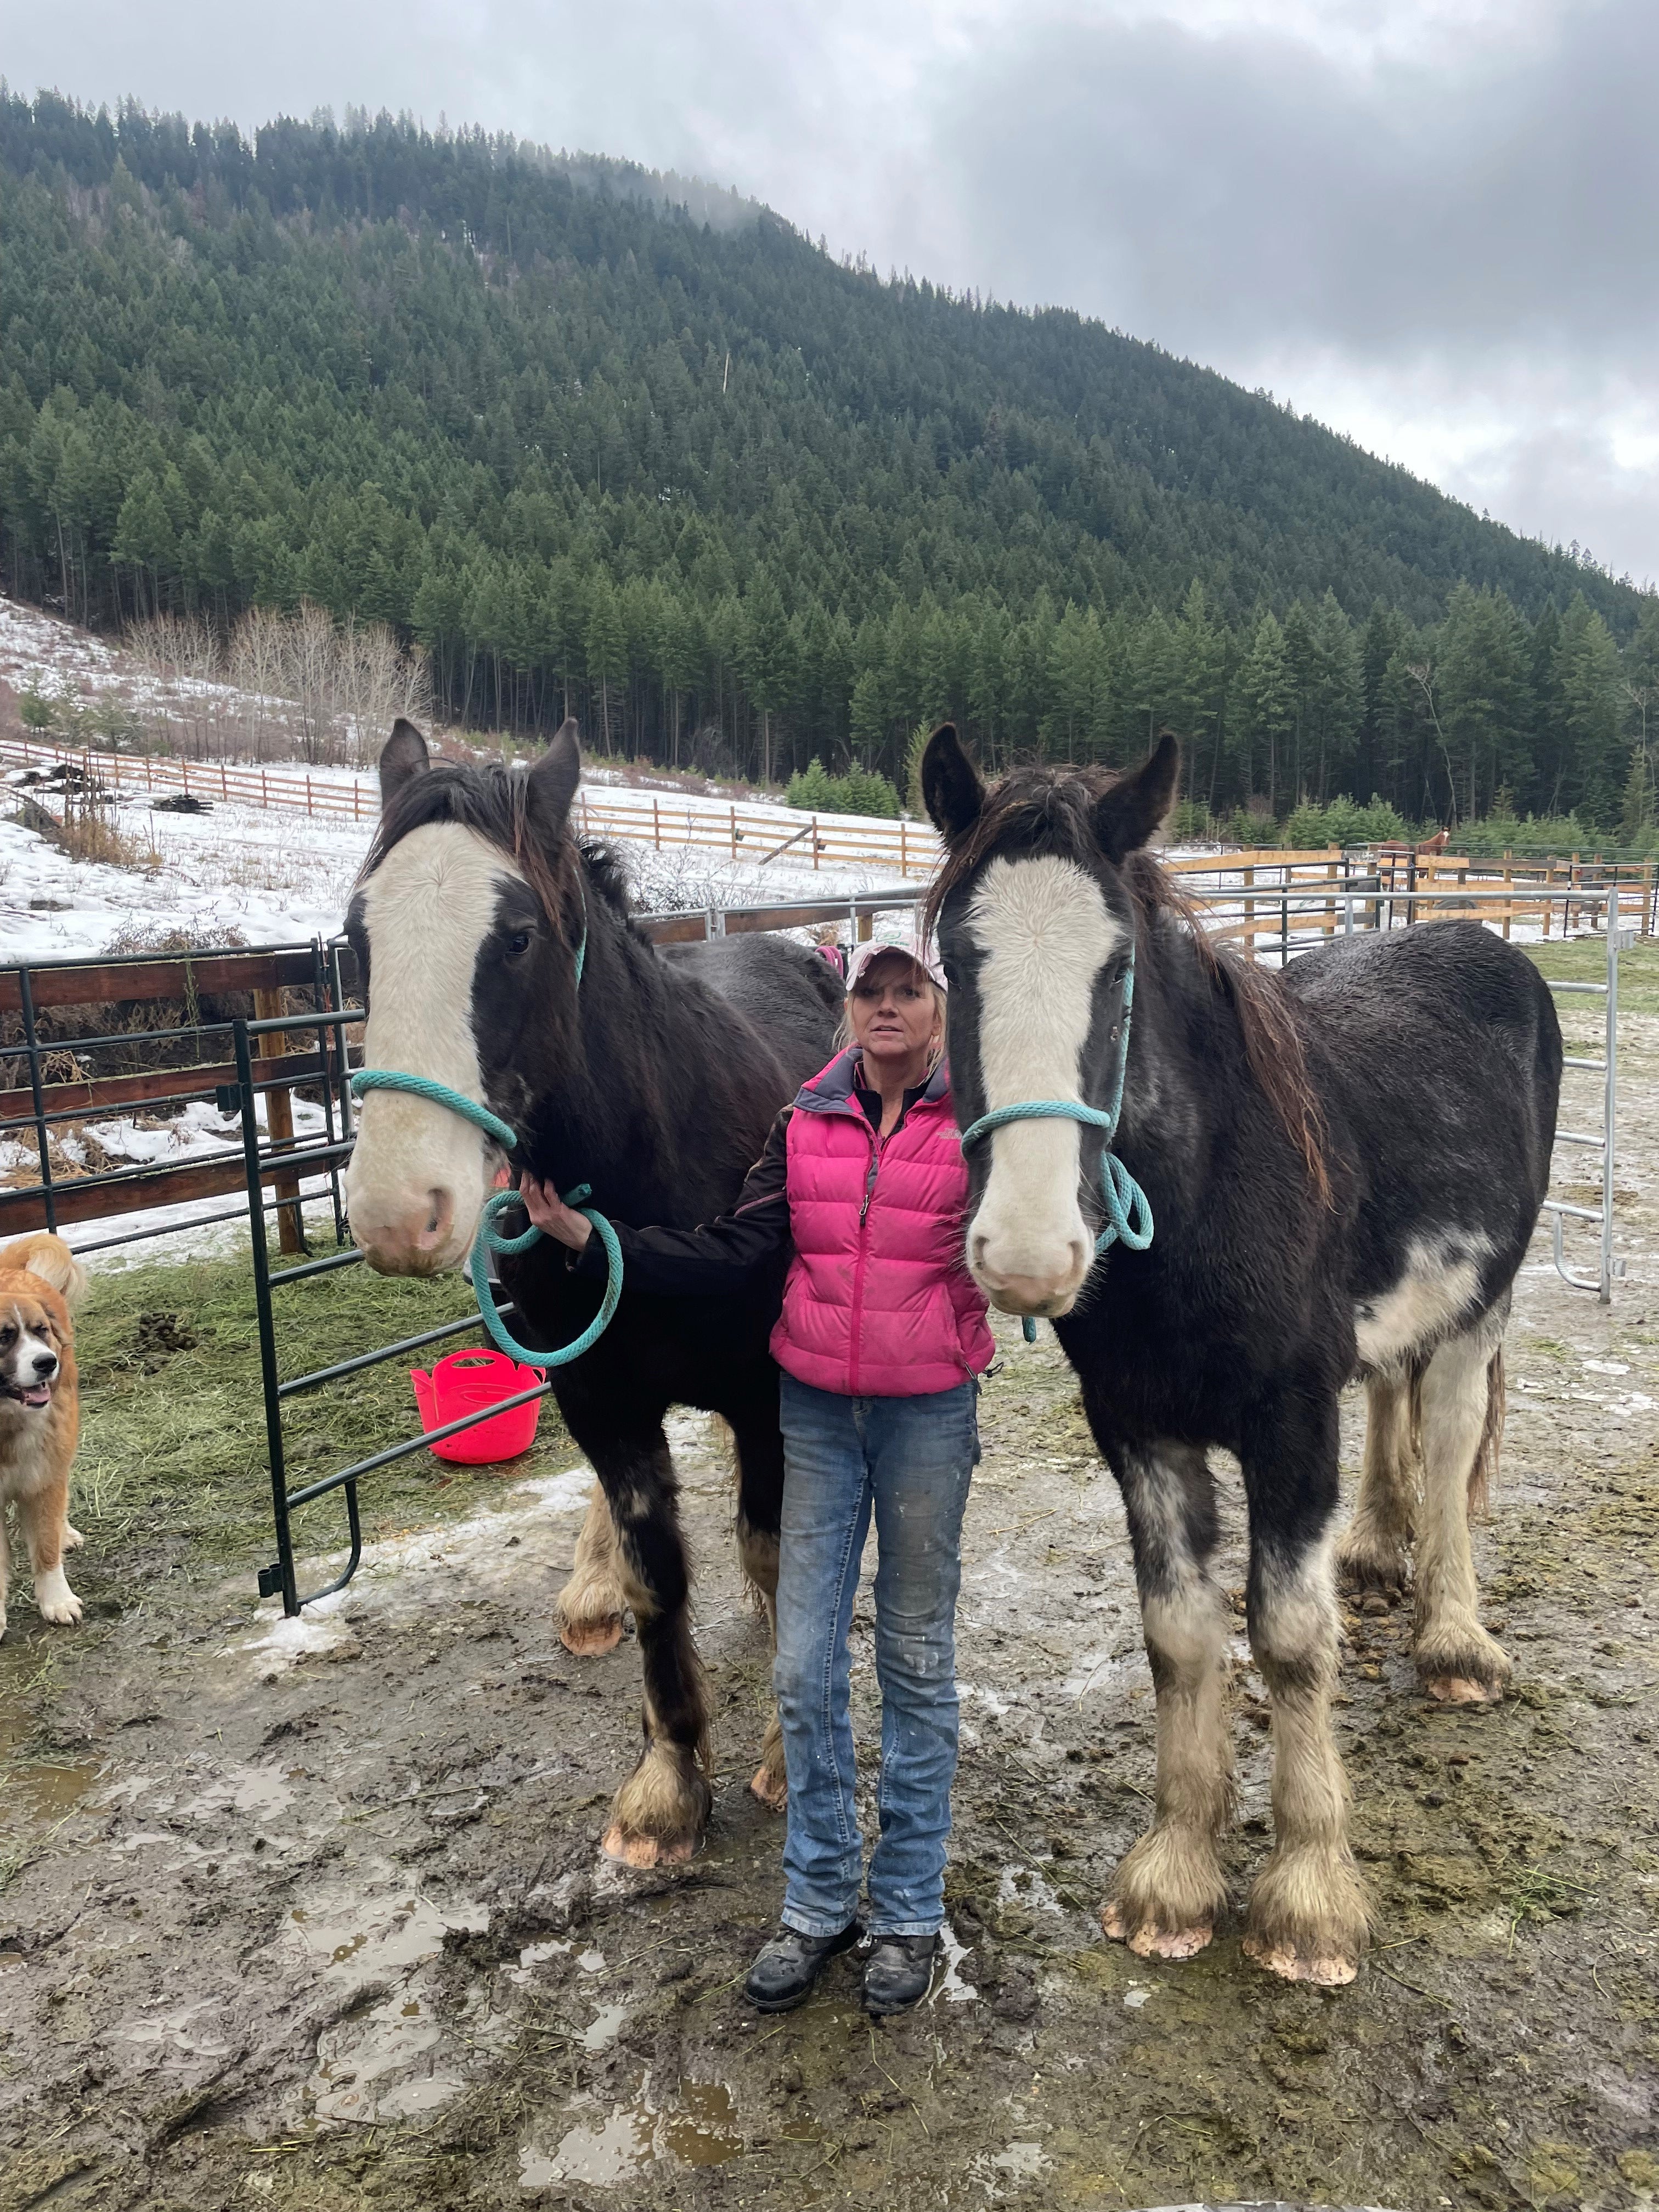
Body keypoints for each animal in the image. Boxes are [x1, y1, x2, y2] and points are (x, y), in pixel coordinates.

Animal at [347, 725, 845, 1867]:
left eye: (517, 937)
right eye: (357, 934)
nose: (397, 1209)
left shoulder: (766, 1396)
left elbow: (775, 1550)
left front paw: (783, 1752)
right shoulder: (596, 1397)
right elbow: (655, 1568)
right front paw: (668, 1785)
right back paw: (590, 1588)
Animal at [929, 725, 1566, 1990]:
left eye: (1118, 970)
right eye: (955, 965)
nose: (1027, 1253)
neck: (1209, 1195)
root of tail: (1482, 938)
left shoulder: (1286, 1425)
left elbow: (1285, 1635)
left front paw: (1309, 1896)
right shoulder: (1137, 1426)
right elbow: (1180, 1635)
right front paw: (1175, 1871)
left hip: (1482, 1303)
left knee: (1451, 1439)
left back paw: (1454, 1639)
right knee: (1392, 1396)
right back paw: (1373, 1551)